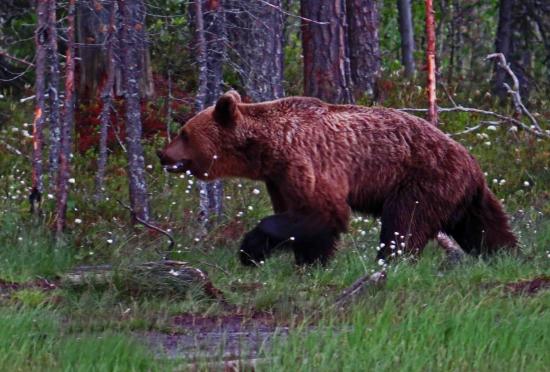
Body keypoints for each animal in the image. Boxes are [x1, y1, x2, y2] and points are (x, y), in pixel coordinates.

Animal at [157, 91, 520, 266]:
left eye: (184, 133)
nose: (162, 154)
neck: (267, 149)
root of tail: (472, 163)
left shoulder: (305, 161)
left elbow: (322, 212)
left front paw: (251, 249)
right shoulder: (279, 178)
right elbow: (305, 219)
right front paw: (309, 261)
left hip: (424, 180)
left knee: (404, 224)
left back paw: (390, 261)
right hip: (463, 197)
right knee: (486, 229)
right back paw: (507, 255)